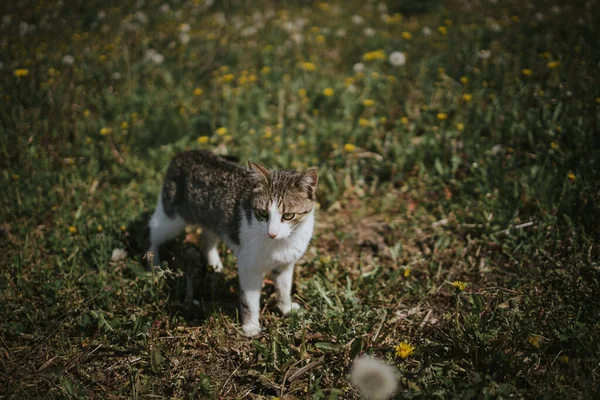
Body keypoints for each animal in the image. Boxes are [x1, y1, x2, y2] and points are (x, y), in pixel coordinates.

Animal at [146, 152, 318, 336]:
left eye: (288, 216)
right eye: (263, 213)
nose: (272, 233)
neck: (281, 243)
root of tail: (184, 153)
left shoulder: (285, 263)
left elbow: (284, 289)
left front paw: (286, 309)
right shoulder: (248, 267)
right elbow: (249, 300)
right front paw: (251, 326)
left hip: (212, 219)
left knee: (207, 238)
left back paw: (215, 264)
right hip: (172, 218)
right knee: (153, 229)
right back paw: (153, 263)